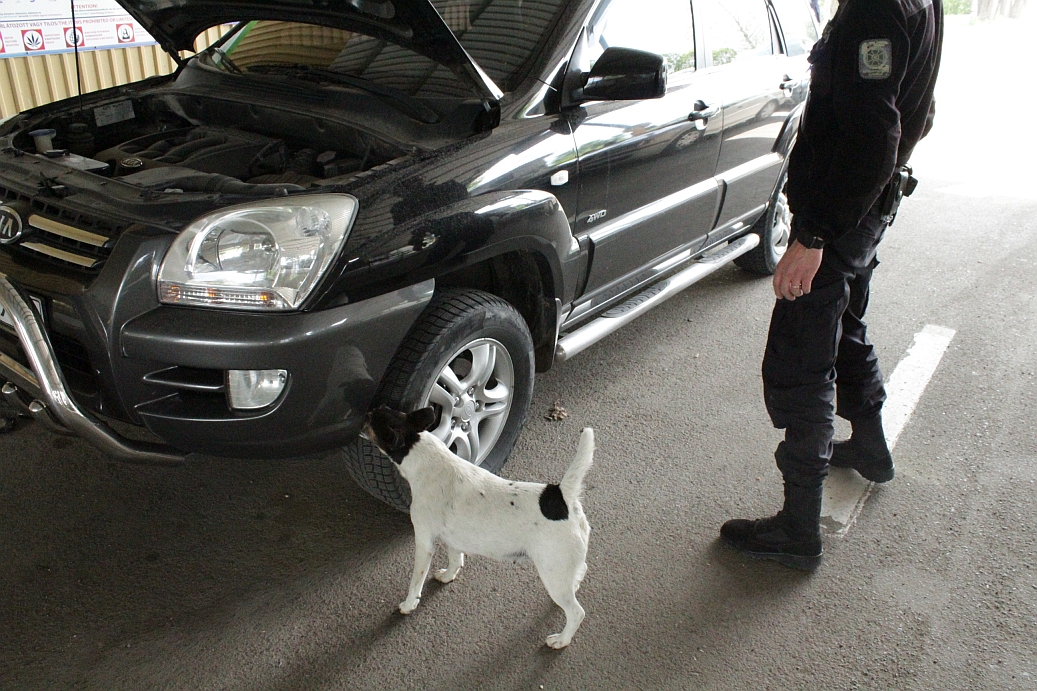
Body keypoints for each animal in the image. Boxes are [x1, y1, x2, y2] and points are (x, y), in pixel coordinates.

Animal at [362, 404, 593, 647]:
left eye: (370, 420)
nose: (363, 415)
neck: (426, 457)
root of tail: (561, 495)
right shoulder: (453, 539)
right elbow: (455, 560)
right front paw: (448, 576)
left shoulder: (424, 543)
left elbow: (416, 581)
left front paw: (408, 604)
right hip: (564, 567)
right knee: (581, 571)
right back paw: (576, 585)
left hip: (553, 574)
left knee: (576, 612)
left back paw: (561, 640)